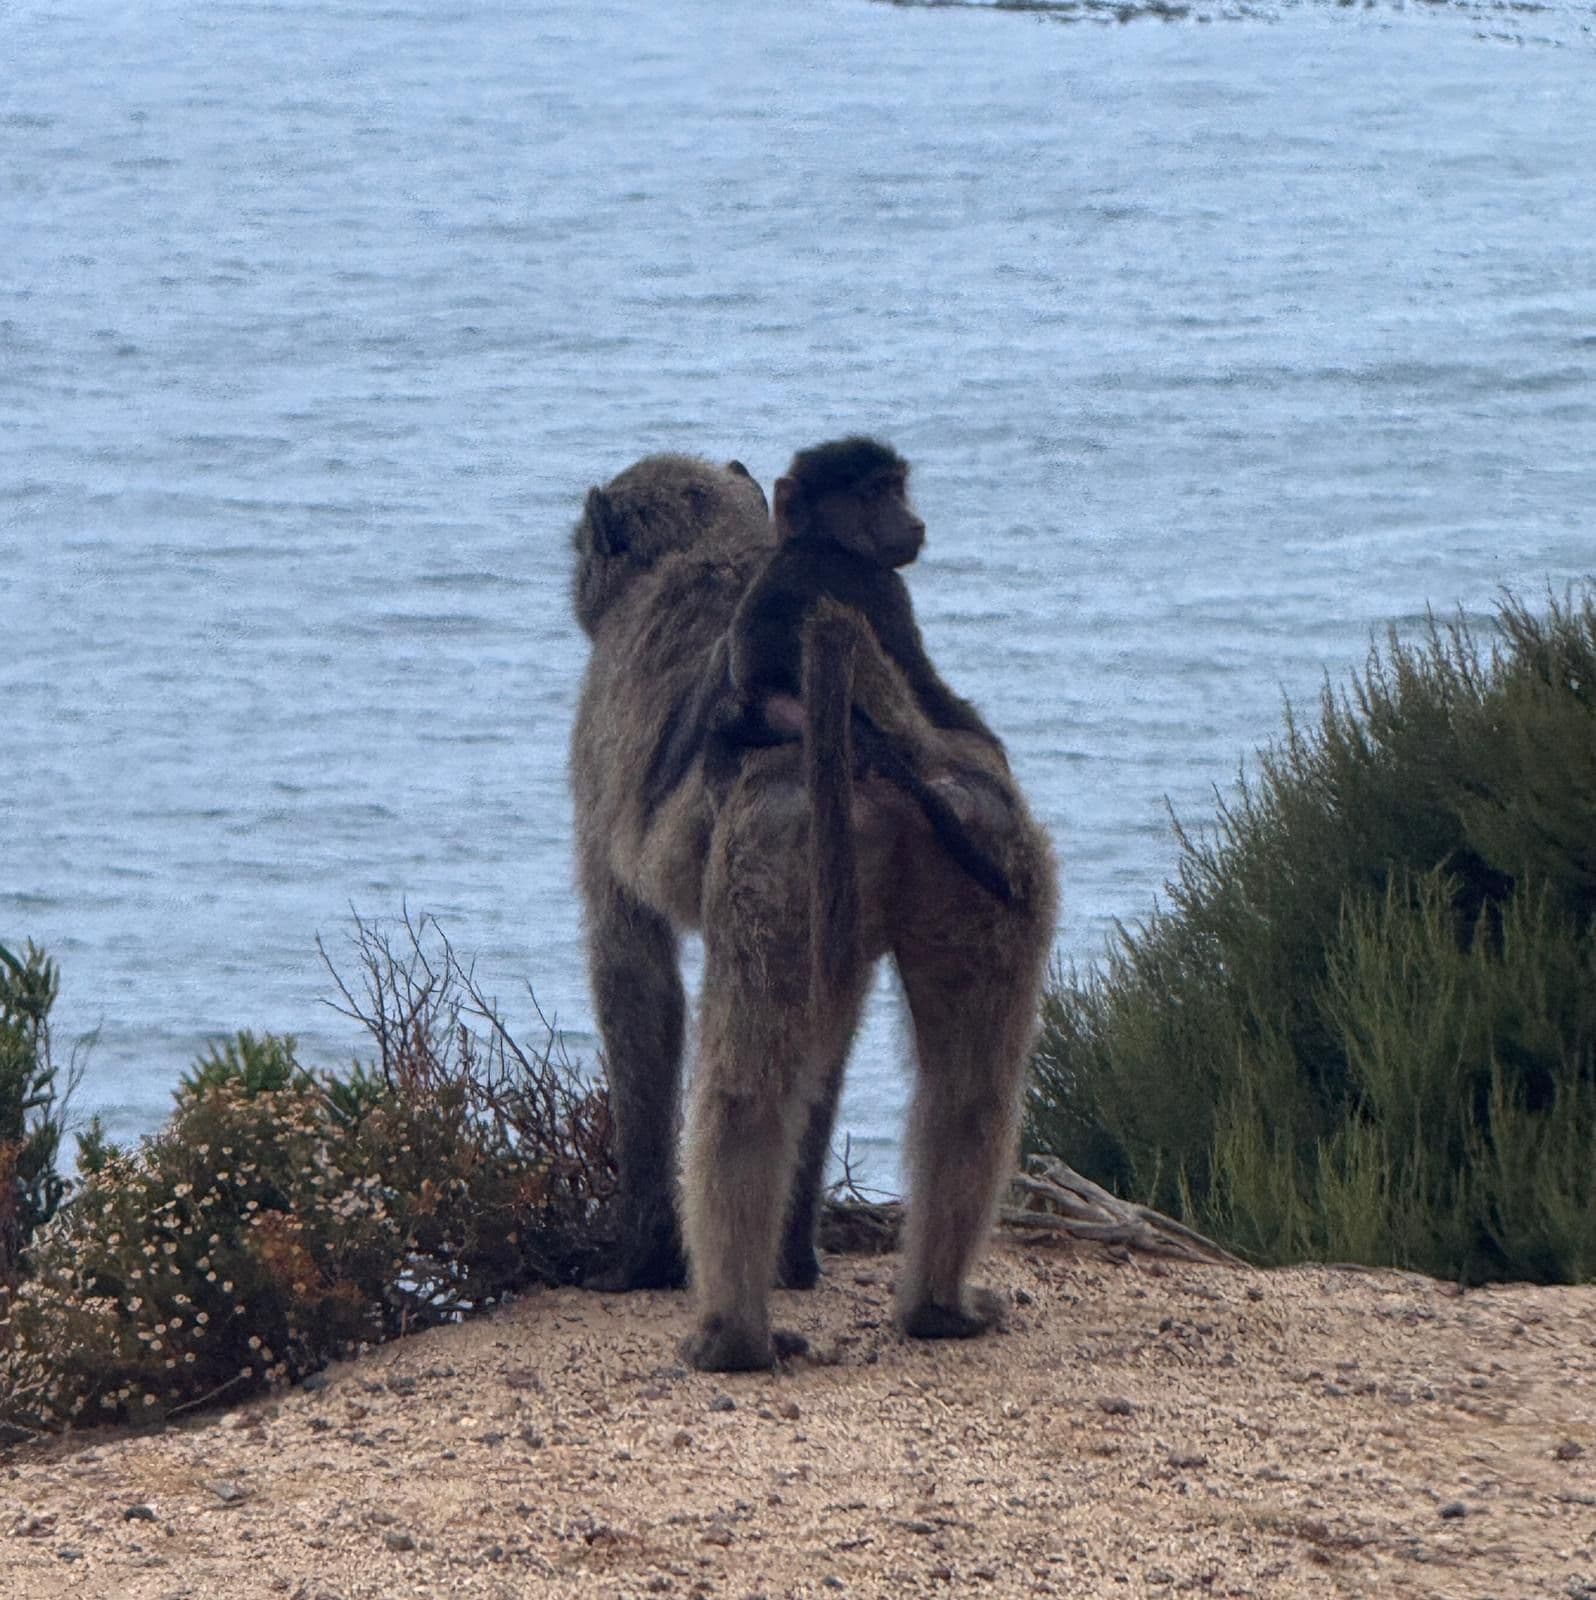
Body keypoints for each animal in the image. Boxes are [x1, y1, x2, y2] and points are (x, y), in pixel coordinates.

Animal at [570, 448, 1058, 1372]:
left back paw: (732, 1335)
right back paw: (937, 1306)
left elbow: (633, 974)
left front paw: (637, 1260)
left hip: (779, 858)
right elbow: (836, 1034)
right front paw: (797, 1257)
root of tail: (890, 748)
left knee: (743, 1097)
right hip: (990, 848)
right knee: (971, 1090)